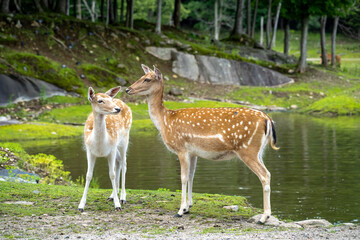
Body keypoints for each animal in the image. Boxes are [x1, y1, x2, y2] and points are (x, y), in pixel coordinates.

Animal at [125, 64, 280, 224]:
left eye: (147, 79)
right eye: (141, 76)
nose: (127, 89)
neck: (165, 120)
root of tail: (267, 119)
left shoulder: (181, 148)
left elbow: (183, 177)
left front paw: (180, 211)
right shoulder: (193, 152)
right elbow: (191, 176)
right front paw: (188, 207)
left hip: (247, 149)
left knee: (265, 175)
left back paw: (263, 218)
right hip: (258, 150)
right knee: (267, 173)